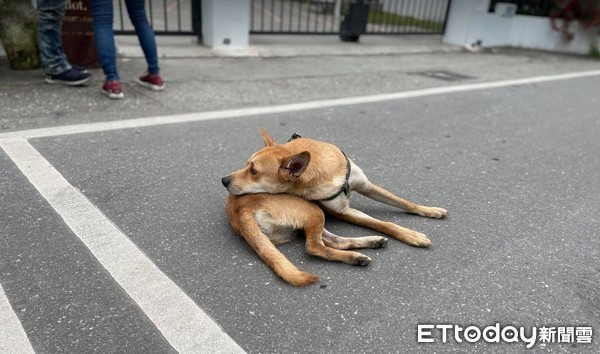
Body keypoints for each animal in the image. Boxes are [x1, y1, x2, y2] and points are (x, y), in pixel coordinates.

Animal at [223, 130, 448, 284]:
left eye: (252, 170)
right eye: (248, 166)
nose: (224, 180)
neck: (325, 171)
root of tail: (238, 211)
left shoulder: (367, 186)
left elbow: (403, 202)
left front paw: (429, 211)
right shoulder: (343, 212)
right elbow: (384, 224)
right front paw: (412, 236)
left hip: (312, 216)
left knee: (332, 241)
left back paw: (368, 246)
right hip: (313, 210)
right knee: (315, 247)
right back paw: (354, 257)